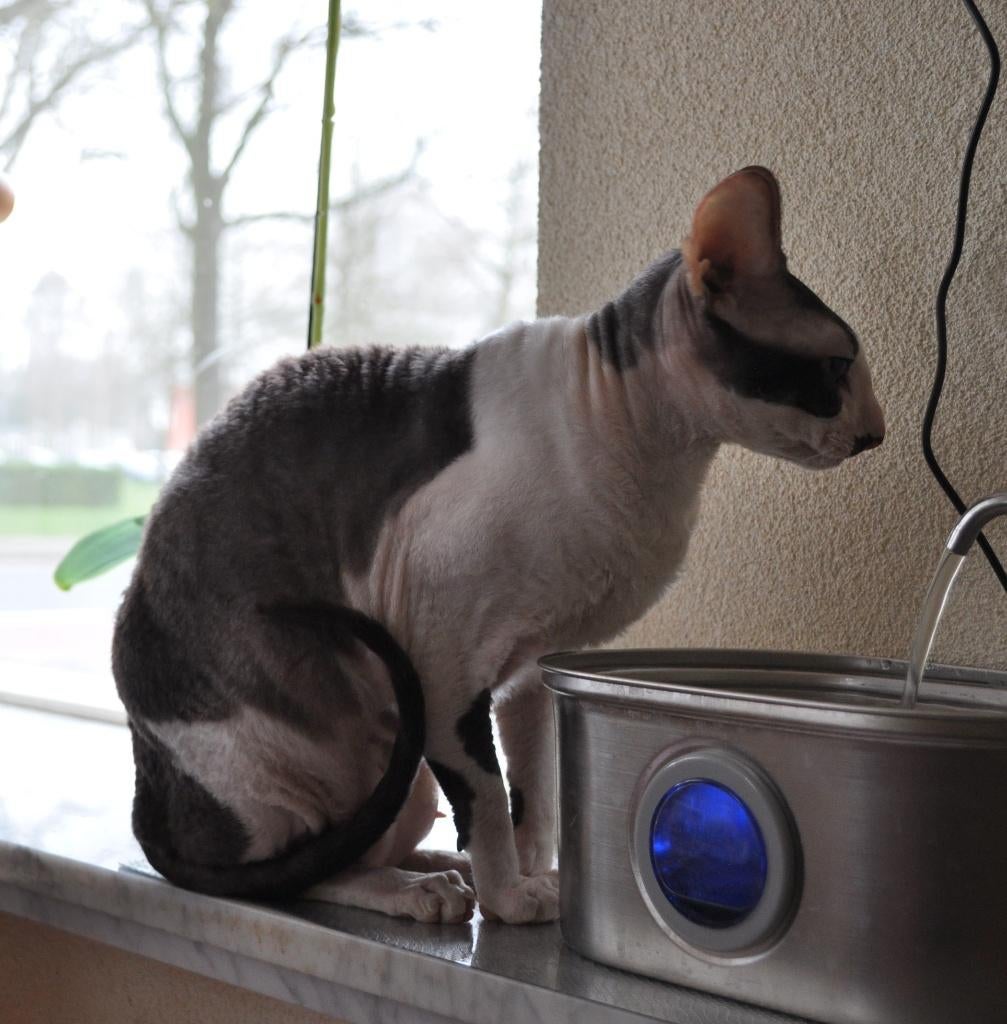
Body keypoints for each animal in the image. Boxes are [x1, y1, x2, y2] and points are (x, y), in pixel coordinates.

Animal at [112, 167, 885, 925]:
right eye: (836, 369)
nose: (876, 432)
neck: (648, 453)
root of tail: (145, 795)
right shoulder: (444, 664)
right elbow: (486, 797)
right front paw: (511, 899)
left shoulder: (532, 675)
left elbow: (534, 794)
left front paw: (535, 875)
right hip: (344, 749)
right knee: (299, 873)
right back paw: (420, 890)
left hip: (406, 772)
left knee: (364, 842)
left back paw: (434, 864)